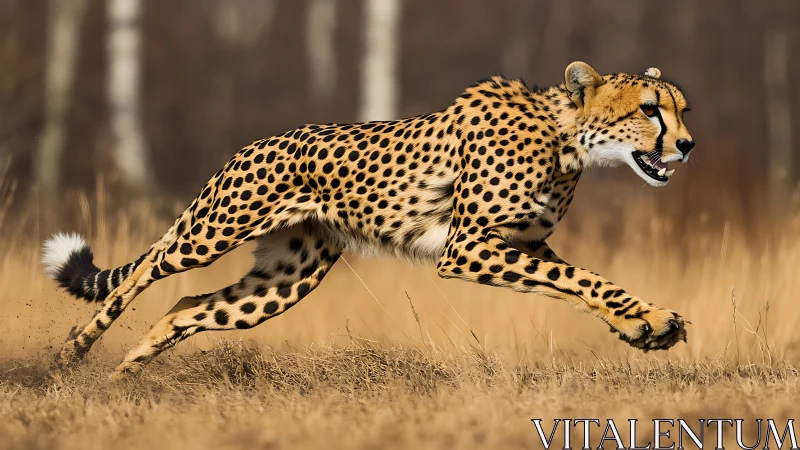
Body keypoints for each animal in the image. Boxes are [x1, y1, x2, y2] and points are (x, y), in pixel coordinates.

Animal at [42, 62, 694, 380]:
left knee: (186, 306)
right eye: (649, 110)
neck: (566, 139)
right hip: (213, 229)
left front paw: (646, 323)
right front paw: (647, 321)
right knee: (146, 268)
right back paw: (71, 355)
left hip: (284, 280)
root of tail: (255, 141)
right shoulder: (466, 248)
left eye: (681, 109)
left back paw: (124, 377)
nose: (687, 145)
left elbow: (582, 282)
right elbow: (580, 279)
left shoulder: (519, 244)